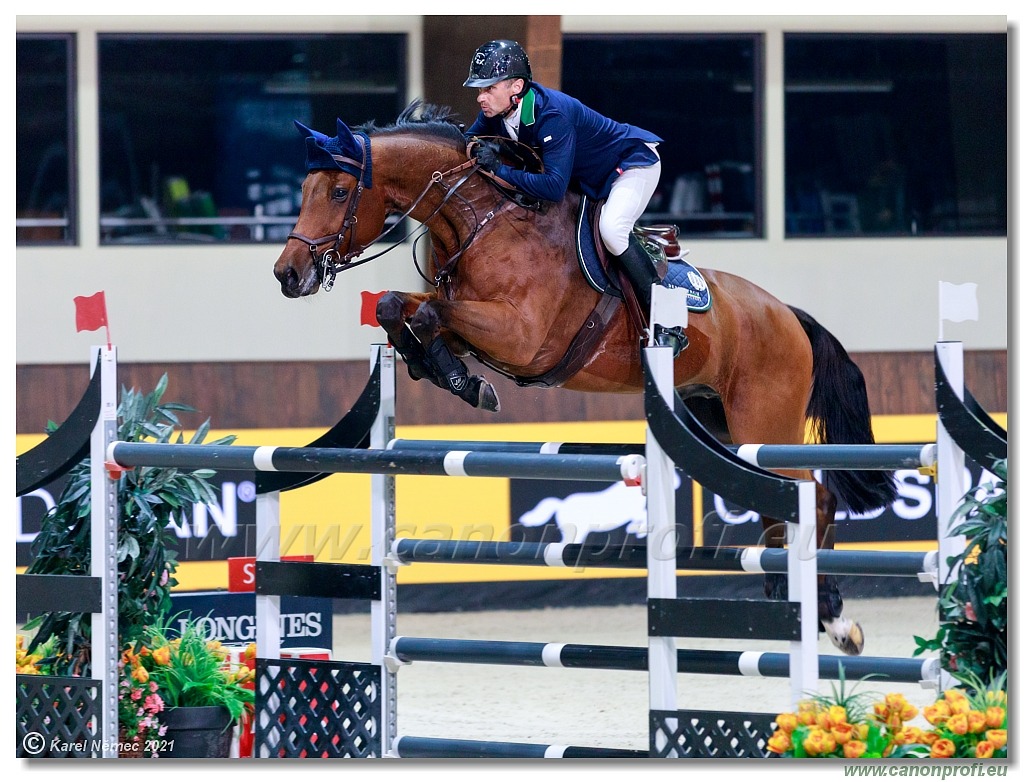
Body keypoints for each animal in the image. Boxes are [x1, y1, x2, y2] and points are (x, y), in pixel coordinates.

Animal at [276, 100, 901, 655]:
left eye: (338, 192)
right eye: (305, 192)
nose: (288, 274)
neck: (485, 223)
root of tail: (787, 314)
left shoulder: (520, 335)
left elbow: (429, 314)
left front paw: (465, 382)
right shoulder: (471, 321)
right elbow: (396, 308)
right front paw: (445, 373)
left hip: (764, 419)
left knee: (812, 497)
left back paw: (834, 618)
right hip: (719, 424)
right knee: (777, 502)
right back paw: (793, 597)